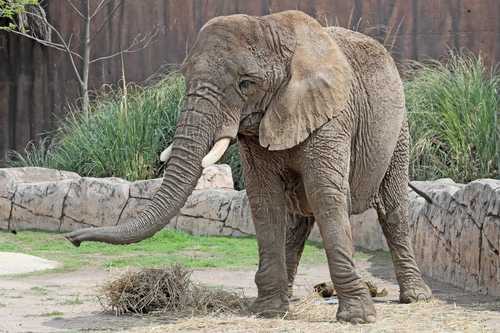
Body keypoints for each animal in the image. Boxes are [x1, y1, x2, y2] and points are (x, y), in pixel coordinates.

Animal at [65, 11, 434, 324]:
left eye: (246, 84)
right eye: (185, 78)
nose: (72, 239)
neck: (274, 29)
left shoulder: (333, 116)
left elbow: (326, 195)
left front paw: (358, 317)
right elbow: (264, 198)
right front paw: (268, 312)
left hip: (399, 130)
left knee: (392, 209)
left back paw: (415, 297)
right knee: (298, 218)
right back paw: (286, 297)